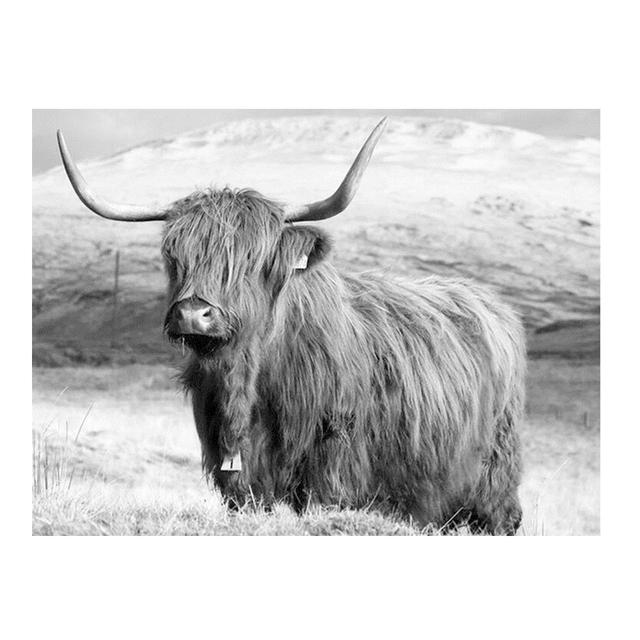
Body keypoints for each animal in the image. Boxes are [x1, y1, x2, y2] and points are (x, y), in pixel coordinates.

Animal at [57, 118, 526, 534]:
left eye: (252, 259)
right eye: (174, 256)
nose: (193, 313)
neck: (248, 379)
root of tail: (491, 304)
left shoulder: (334, 467)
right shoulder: (236, 472)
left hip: (494, 477)